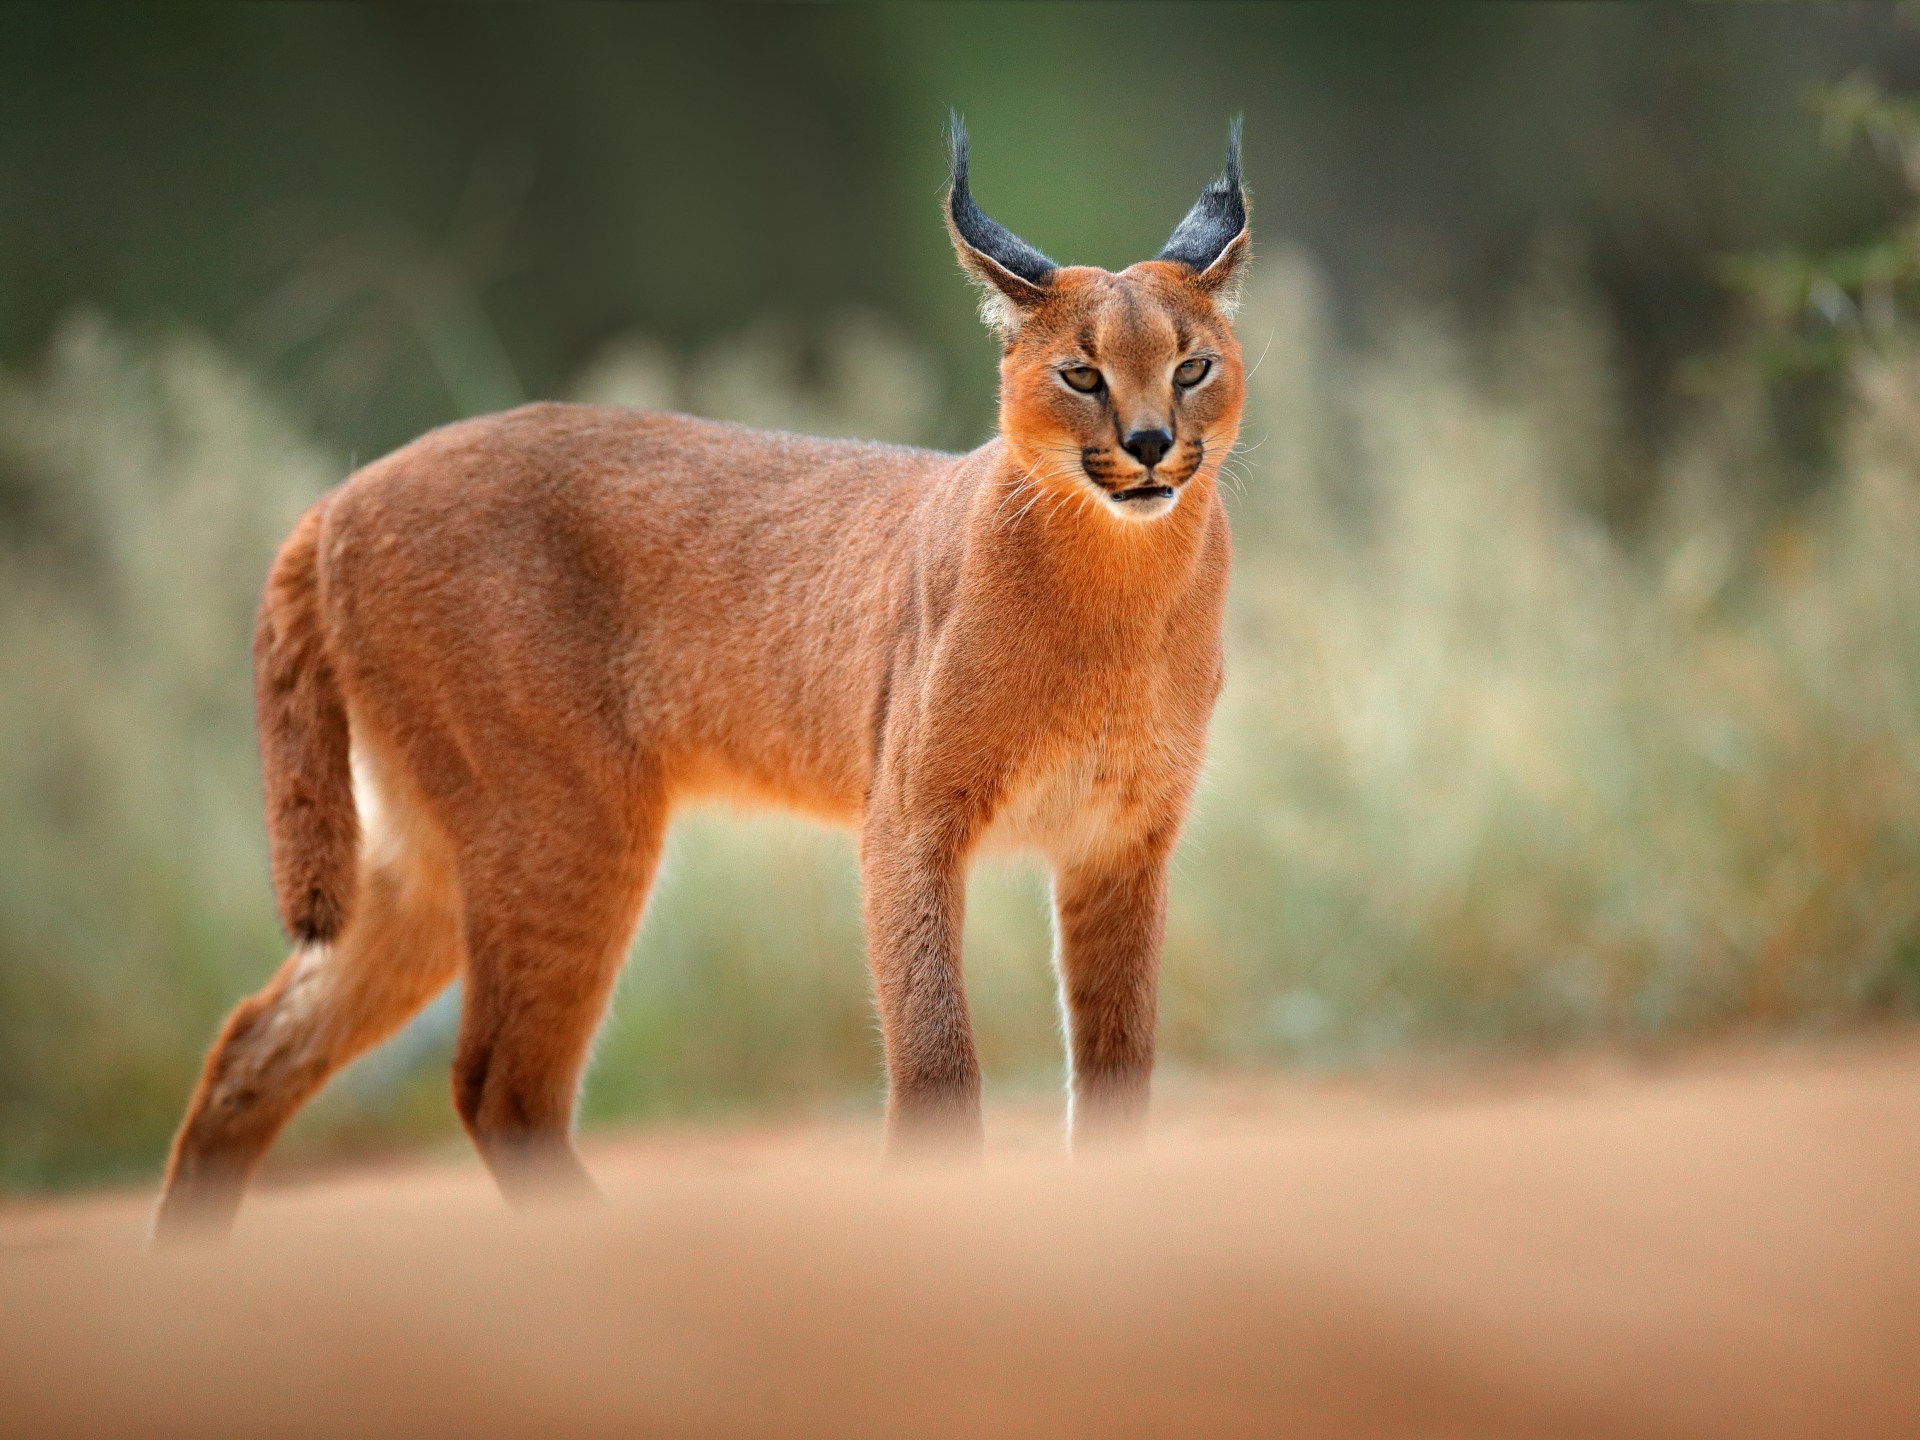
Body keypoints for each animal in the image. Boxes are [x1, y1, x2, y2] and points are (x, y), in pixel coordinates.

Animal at [157, 118, 1251, 1244]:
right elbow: (937, 1053)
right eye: (1080, 375)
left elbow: (1119, 1067)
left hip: (430, 851)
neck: (1119, 586)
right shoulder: (912, 817)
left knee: (256, 1041)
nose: (1150, 444)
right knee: (497, 1082)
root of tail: (343, 490)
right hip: (564, 820)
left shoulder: (1120, 838)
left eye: (1193, 366)